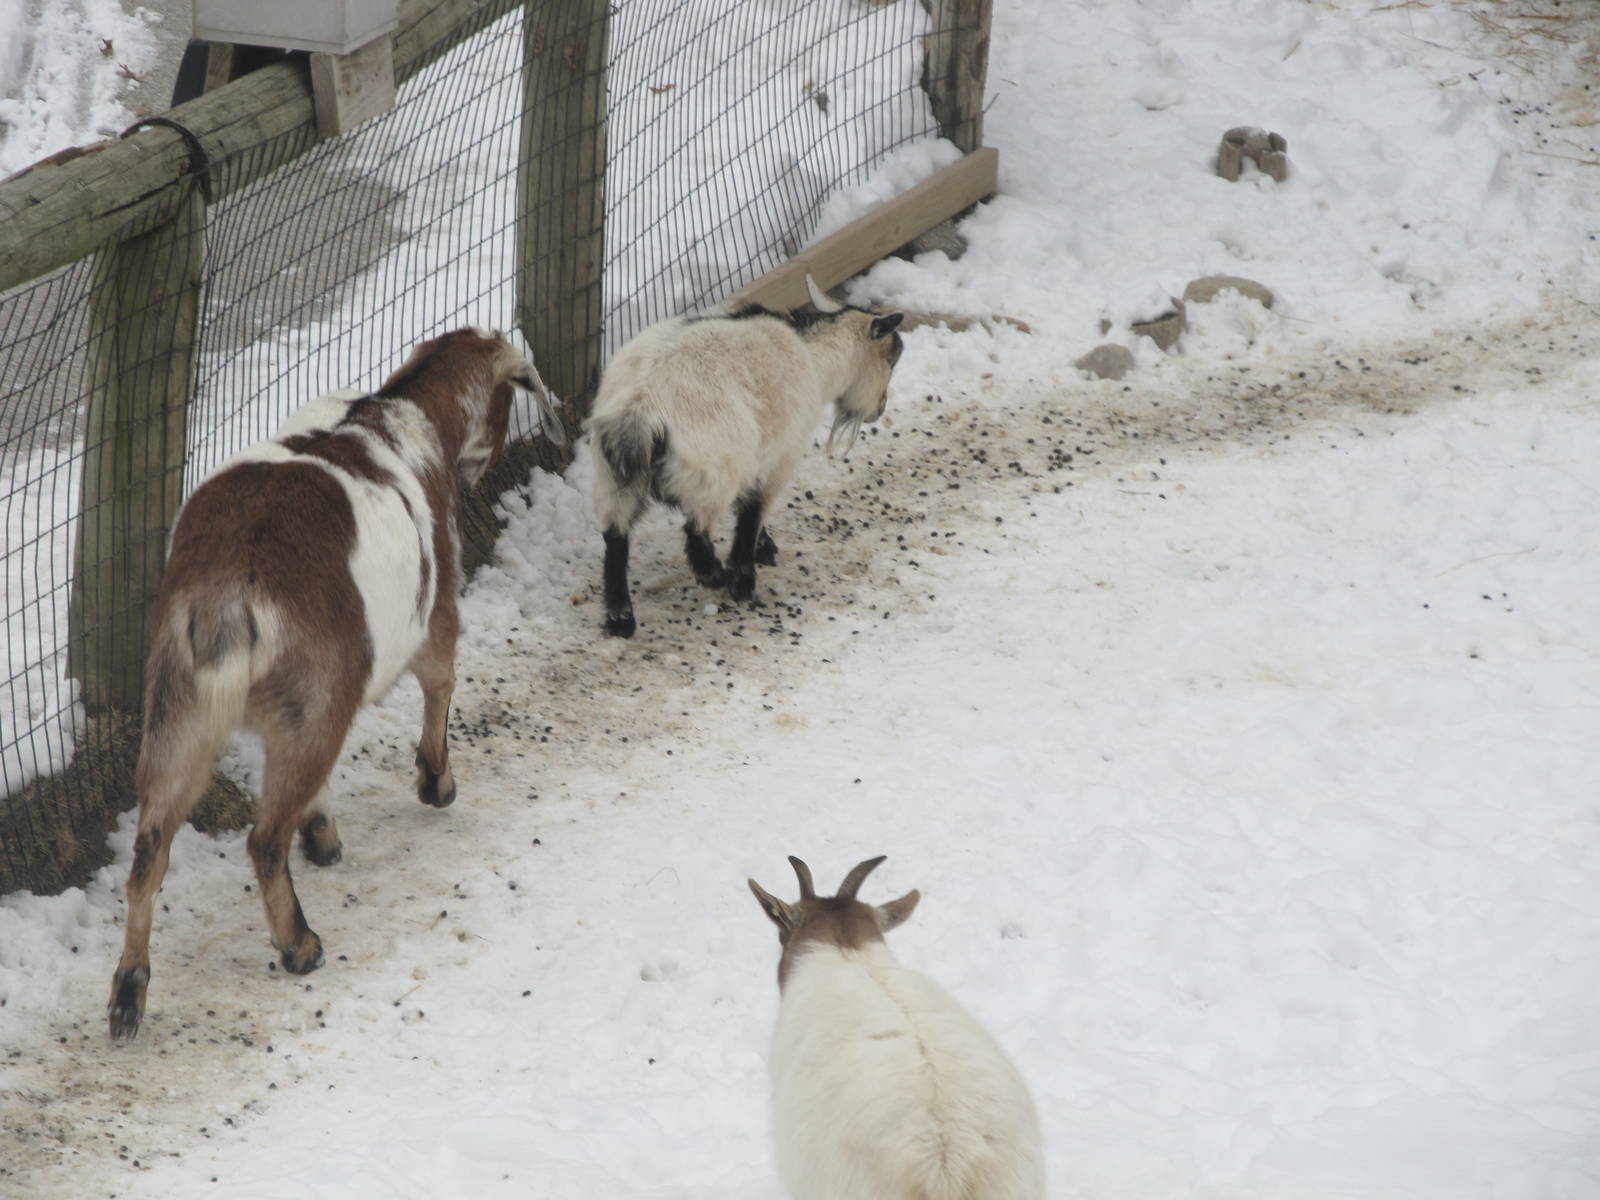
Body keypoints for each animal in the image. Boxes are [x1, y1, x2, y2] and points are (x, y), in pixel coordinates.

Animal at [107, 327, 545, 1041]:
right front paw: (436, 782)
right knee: (262, 839)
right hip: (315, 698)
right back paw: (300, 946)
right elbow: (441, 681)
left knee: (150, 852)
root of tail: (231, 592)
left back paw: (128, 994)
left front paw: (323, 831)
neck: (400, 410)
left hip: (181, 705)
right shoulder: (435, 612)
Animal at [588, 276, 904, 636]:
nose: (880, 410)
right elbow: (752, 512)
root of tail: (640, 410)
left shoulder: (758, 459)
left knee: (616, 539)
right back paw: (717, 576)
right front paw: (745, 577)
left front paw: (763, 547)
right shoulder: (779, 458)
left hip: (614, 479)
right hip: (711, 473)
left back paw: (621, 618)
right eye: (891, 359)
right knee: (696, 532)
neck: (813, 356)